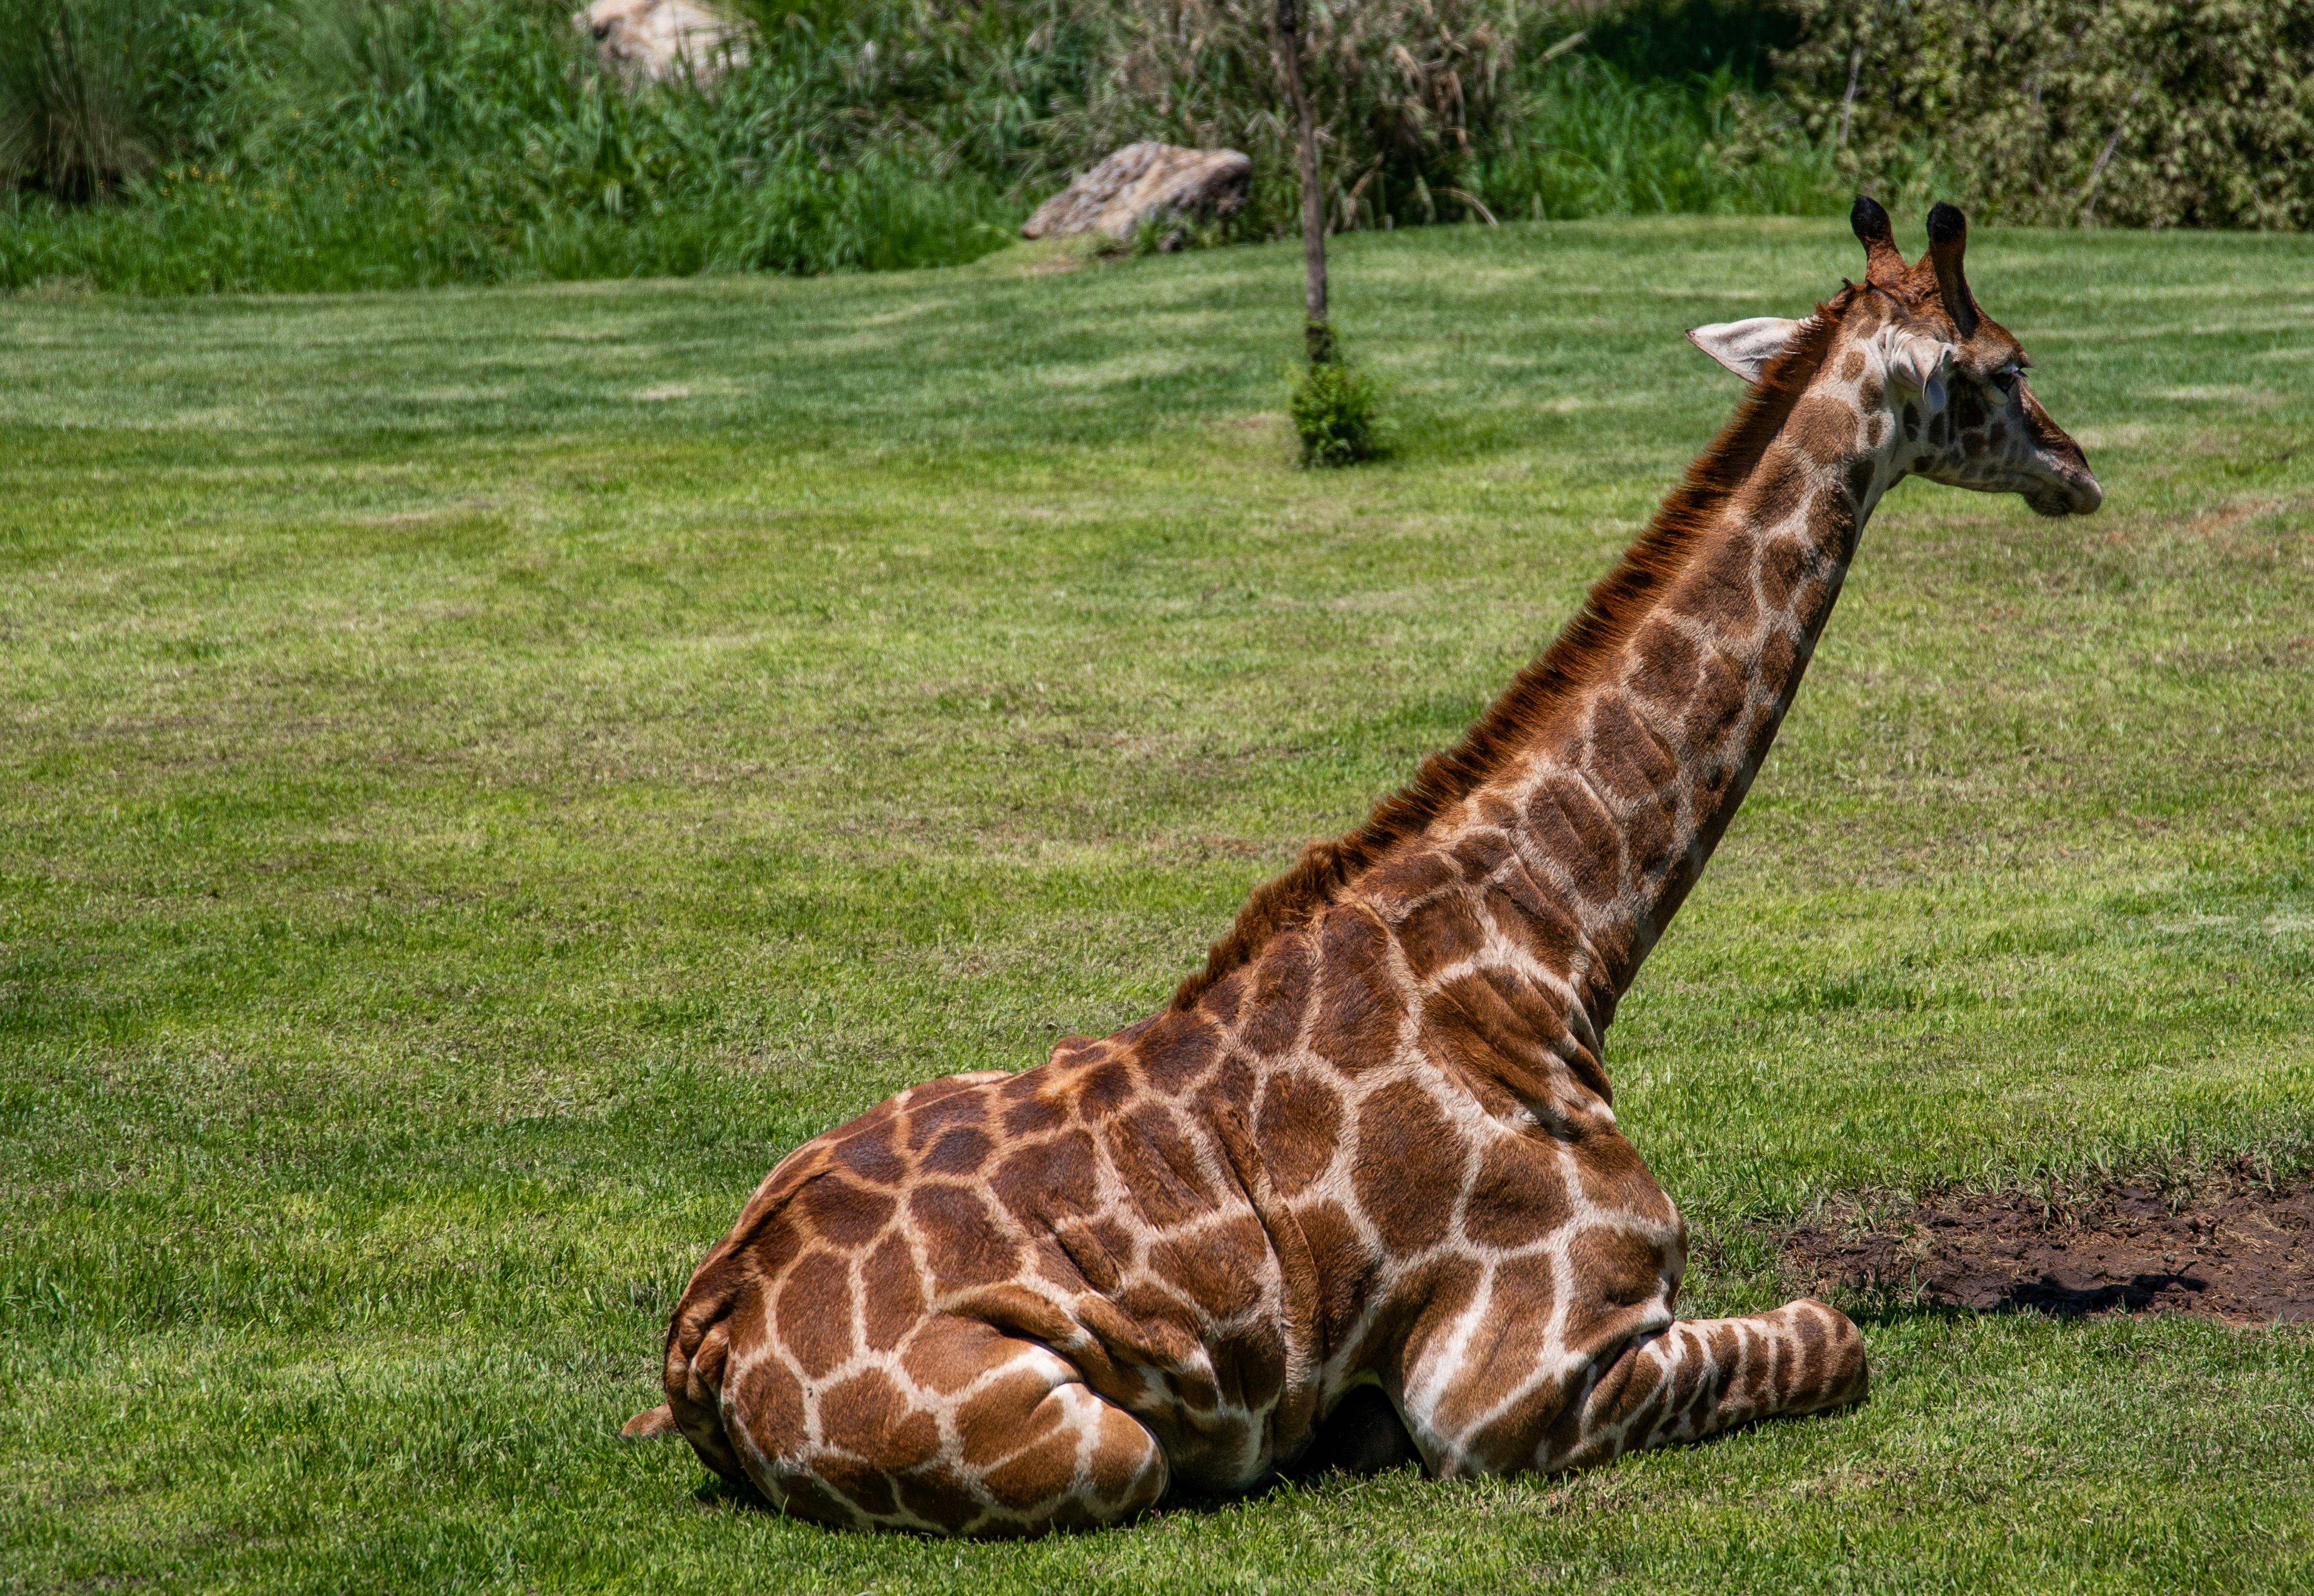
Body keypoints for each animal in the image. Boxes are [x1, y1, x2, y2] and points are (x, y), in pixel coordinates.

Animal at [623, 199, 2102, 1535]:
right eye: (2007, 365)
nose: (2082, 468)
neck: (1555, 942)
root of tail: (704, 1338)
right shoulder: (1515, 1380)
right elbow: (1839, 1333)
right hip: (1090, 1444)